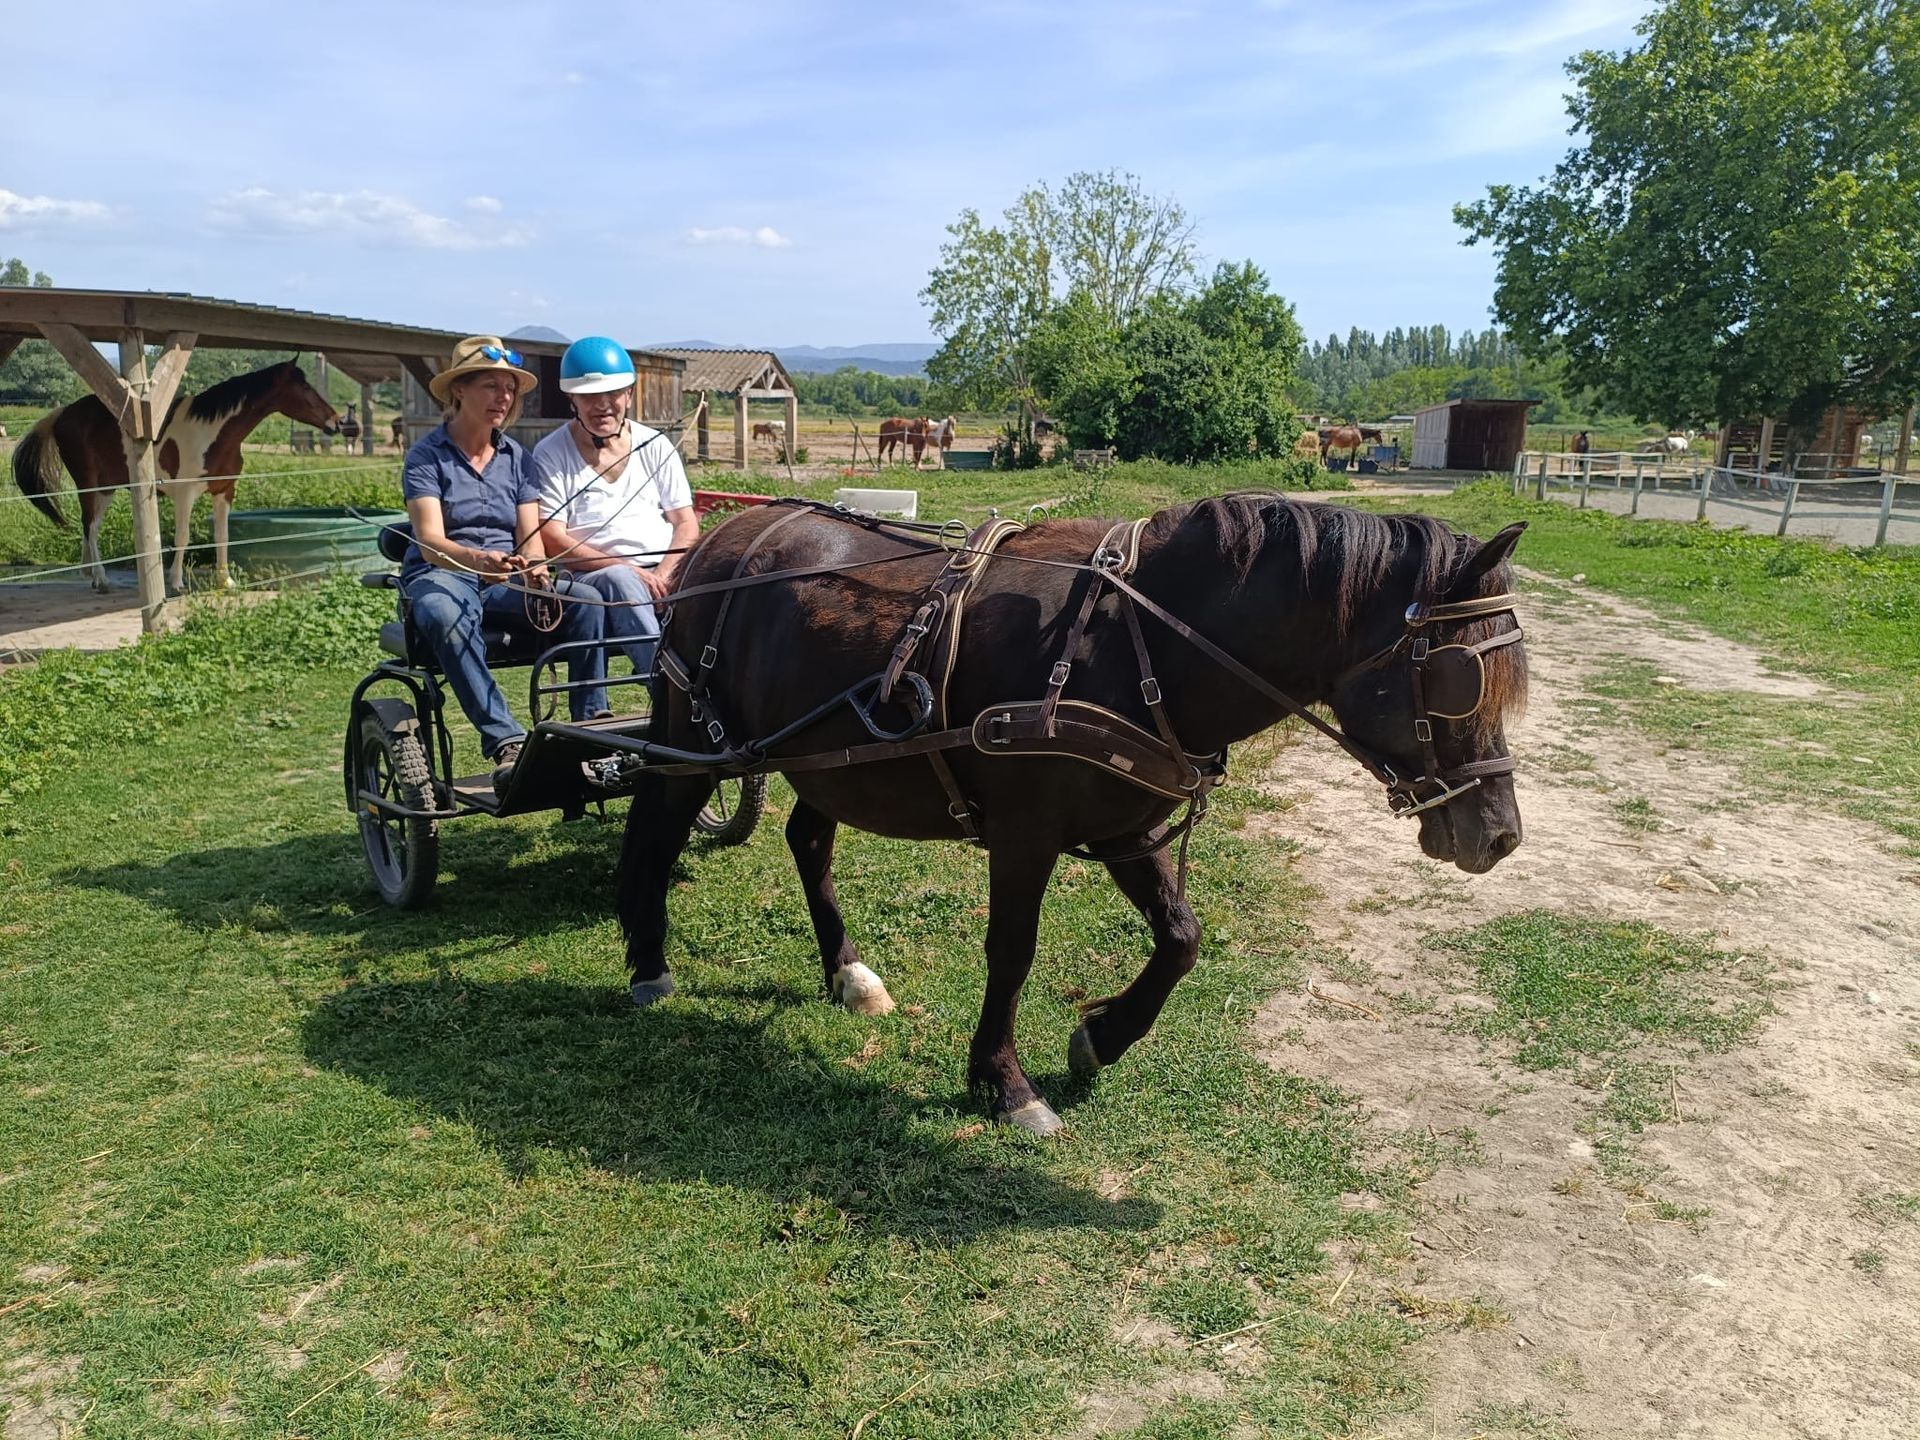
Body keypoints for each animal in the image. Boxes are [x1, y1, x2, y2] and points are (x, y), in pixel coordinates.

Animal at [10, 360, 339, 592]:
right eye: (305, 387)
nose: (336, 422)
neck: (213, 430)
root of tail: (62, 413)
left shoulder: (225, 491)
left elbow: (223, 535)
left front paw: (226, 581)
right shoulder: (185, 493)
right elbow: (182, 537)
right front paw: (177, 582)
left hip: (106, 488)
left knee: (91, 528)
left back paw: (90, 574)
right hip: (88, 485)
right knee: (89, 527)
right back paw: (101, 579)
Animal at [616, 496, 1528, 1133]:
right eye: (1459, 678)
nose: (1500, 836)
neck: (1136, 646)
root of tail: (725, 538)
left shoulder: (1124, 823)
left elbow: (1182, 936)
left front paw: (1102, 1038)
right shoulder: (1025, 833)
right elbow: (1013, 951)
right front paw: (1003, 1081)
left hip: (823, 761)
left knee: (807, 840)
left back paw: (847, 973)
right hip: (692, 737)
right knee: (653, 835)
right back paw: (648, 964)